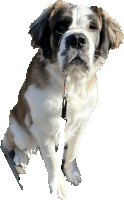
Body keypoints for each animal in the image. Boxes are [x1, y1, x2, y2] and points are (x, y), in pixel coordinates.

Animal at [1, 0, 123, 199]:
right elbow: (51, 160)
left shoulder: (80, 123)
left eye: (92, 27)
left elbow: (72, 151)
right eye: (60, 27)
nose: (77, 39)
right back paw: (21, 156)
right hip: (20, 131)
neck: (70, 83)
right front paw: (57, 186)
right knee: (13, 143)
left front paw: (72, 173)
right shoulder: (44, 130)